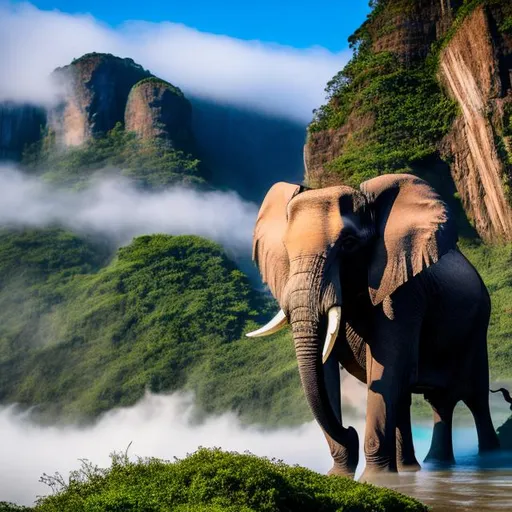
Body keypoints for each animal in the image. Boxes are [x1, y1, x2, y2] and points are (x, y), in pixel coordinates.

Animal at [248, 174, 500, 478]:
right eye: (286, 248)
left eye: (348, 243)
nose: (350, 431)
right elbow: (330, 372)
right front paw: (340, 476)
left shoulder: (403, 291)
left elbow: (385, 367)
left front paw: (374, 479)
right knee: (433, 401)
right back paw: (419, 468)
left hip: (478, 326)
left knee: (475, 399)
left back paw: (488, 460)